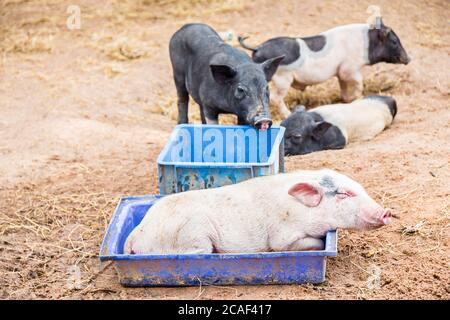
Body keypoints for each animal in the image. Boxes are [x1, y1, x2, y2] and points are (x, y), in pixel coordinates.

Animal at [125, 170, 392, 255]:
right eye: (344, 194)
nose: (386, 212)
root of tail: (137, 233)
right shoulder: (283, 237)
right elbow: (303, 243)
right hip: (193, 236)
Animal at [241, 19, 410, 119]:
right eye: (394, 42)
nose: (408, 59)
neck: (365, 44)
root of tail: (257, 47)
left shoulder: (340, 72)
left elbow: (343, 87)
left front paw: (346, 99)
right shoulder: (349, 68)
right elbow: (359, 82)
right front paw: (358, 97)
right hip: (283, 78)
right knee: (276, 97)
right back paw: (287, 114)